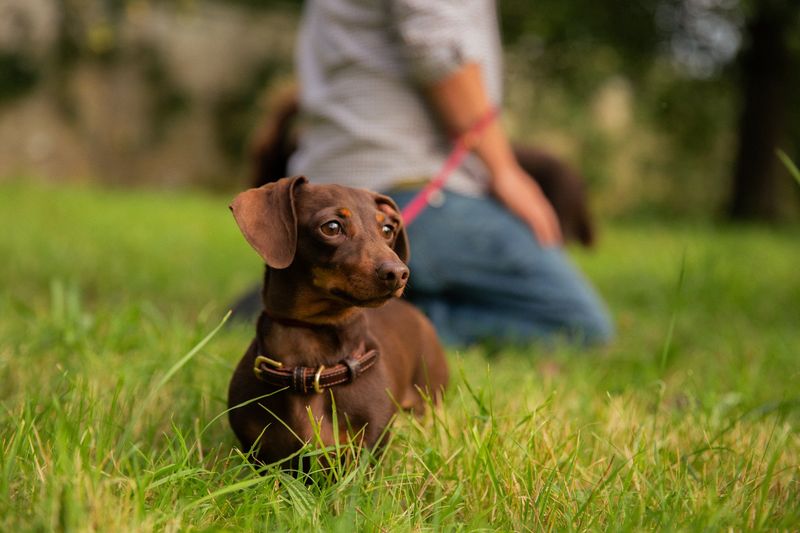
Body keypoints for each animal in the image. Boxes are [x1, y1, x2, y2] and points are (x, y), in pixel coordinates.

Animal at [228, 176, 446, 466]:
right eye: (331, 227)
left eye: (387, 229)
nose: (399, 274)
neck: (310, 365)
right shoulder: (259, 456)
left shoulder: (365, 452)